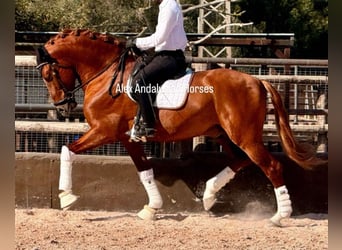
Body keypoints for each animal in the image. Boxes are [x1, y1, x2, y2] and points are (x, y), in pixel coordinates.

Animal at [36, 29, 324, 227]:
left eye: (48, 74)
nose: (63, 106)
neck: (108, 76)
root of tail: (256, 80)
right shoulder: (129, 139)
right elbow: (144, 171)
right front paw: (151, 209)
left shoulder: (104, 131)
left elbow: (67, 150)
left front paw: (66, 197)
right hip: (222, 133)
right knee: (240, 160)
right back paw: (208, 195)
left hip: (243, 135)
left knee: (271, 165)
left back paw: (279, 216)